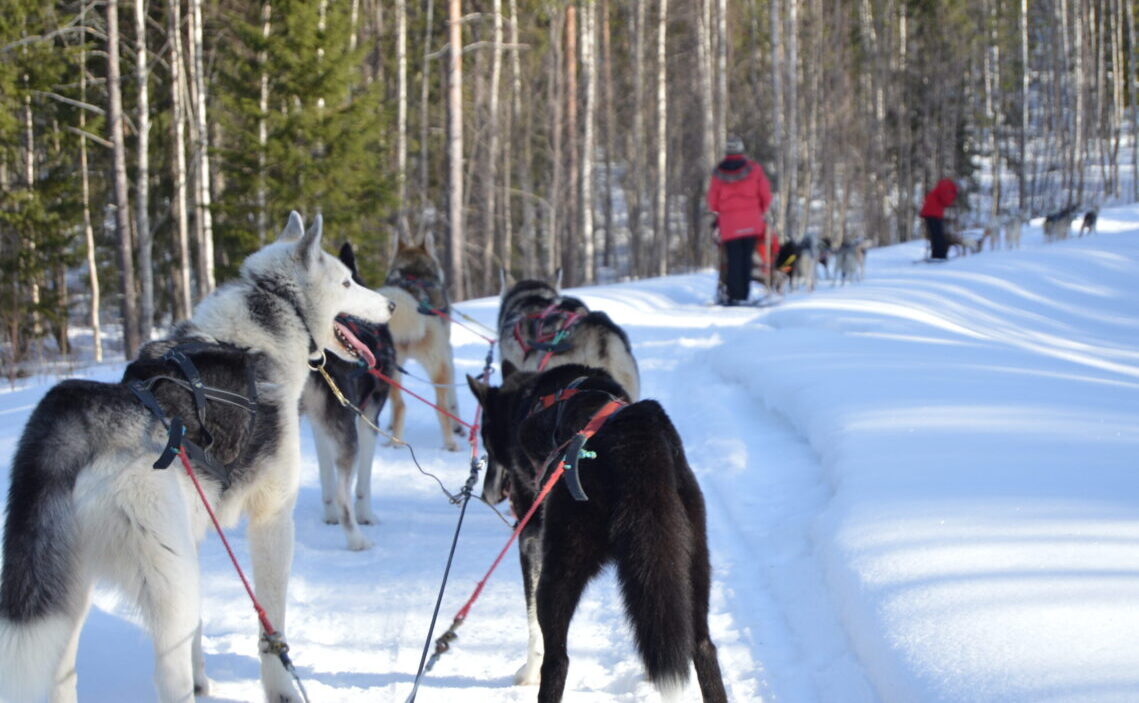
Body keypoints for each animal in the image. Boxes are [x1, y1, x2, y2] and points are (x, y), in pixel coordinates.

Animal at [0, 210, 394, 697]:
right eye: (347, 282)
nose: (391, 306)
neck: (265, 328)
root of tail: (81, 422)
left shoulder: (198, 530)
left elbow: (200, 633)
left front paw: (205, 679)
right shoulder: (271, 519)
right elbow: (272, 628)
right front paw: (280, 688)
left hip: (72, 595)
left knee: (62, 672)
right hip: (170, 583)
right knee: (168, 673)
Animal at [466, 362, 724, 701]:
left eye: (486, 441)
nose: (486, 494)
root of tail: (635, 433)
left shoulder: (529, 539)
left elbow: (532, 622)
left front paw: (528, 672)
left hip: (560, 567)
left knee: (558, 660)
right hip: (690, 564)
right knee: (703, 647)